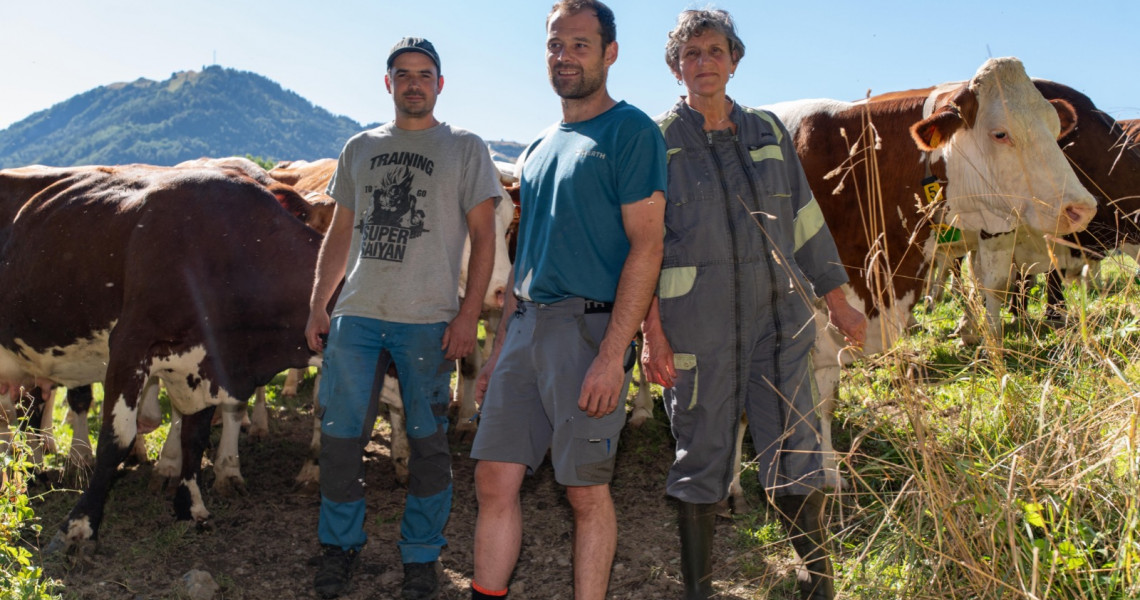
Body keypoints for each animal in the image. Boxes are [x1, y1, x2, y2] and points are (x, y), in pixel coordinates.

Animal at [0, 161, 326, 552]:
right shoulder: (130, 346)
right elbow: (116, 439)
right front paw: (79, 526)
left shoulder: (207, 365)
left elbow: (195, 436)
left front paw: (191, 506)